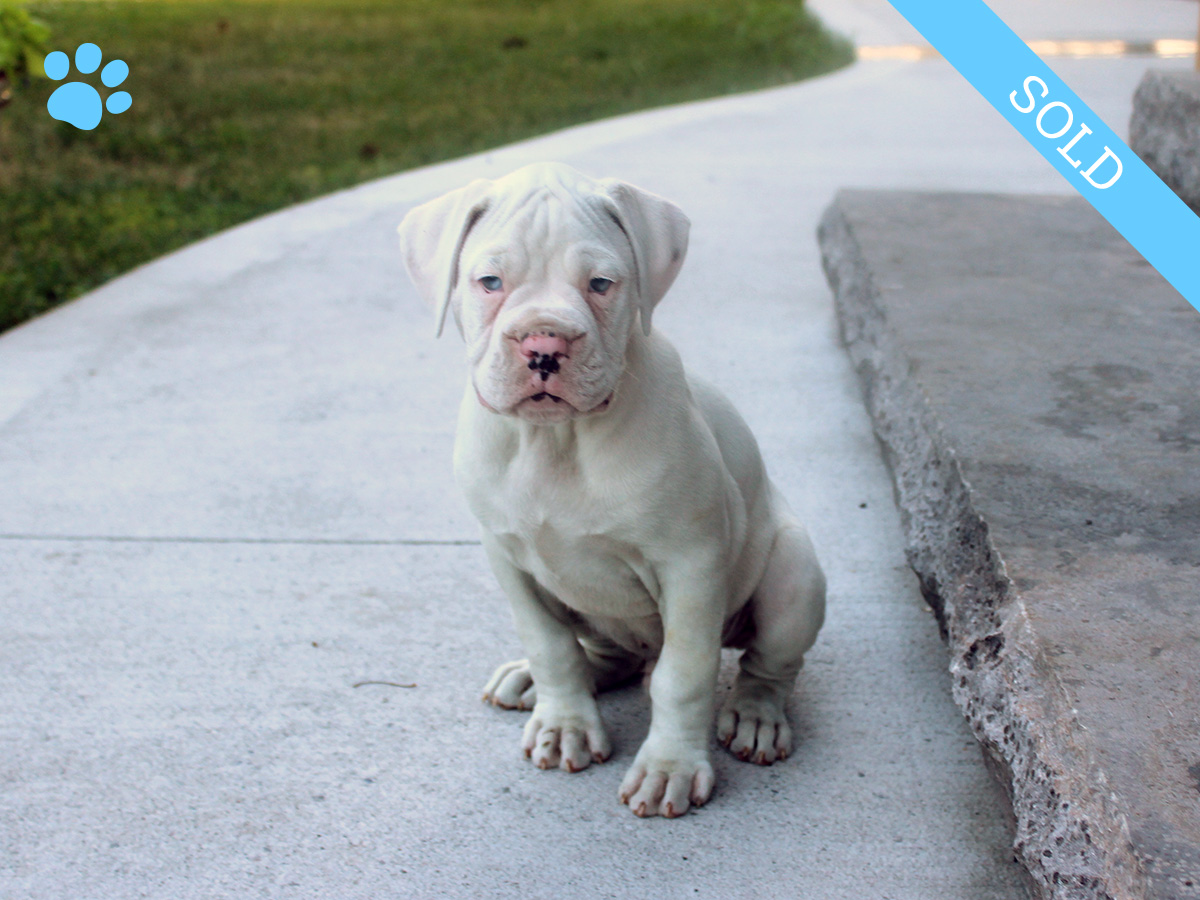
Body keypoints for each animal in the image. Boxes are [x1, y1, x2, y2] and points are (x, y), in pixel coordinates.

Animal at [400, 160, 825, 816]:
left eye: (601, 284)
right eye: (490, 281)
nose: (543, 345)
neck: (555, 442)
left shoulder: (691, 564)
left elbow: (684, 674)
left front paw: (670, 766)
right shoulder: (507, 558)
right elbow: (550, 645)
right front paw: (565, 724)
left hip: (793, 573)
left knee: (768, 662)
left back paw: (756, 716)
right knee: (604, 652)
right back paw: (531, 678)